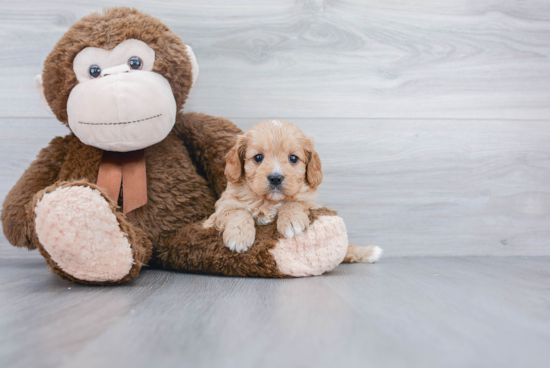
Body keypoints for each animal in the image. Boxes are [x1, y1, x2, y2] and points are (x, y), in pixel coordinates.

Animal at [203, 119, 384, 264]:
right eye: (258, 157)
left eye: (293, 158)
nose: (275, 178)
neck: (269, 201)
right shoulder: (221, 208)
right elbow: (238, 212)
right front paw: (238, 236)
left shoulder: (311, 202)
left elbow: (294, 202)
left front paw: (291, 221)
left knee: (347, 248)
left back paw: (368, 252)